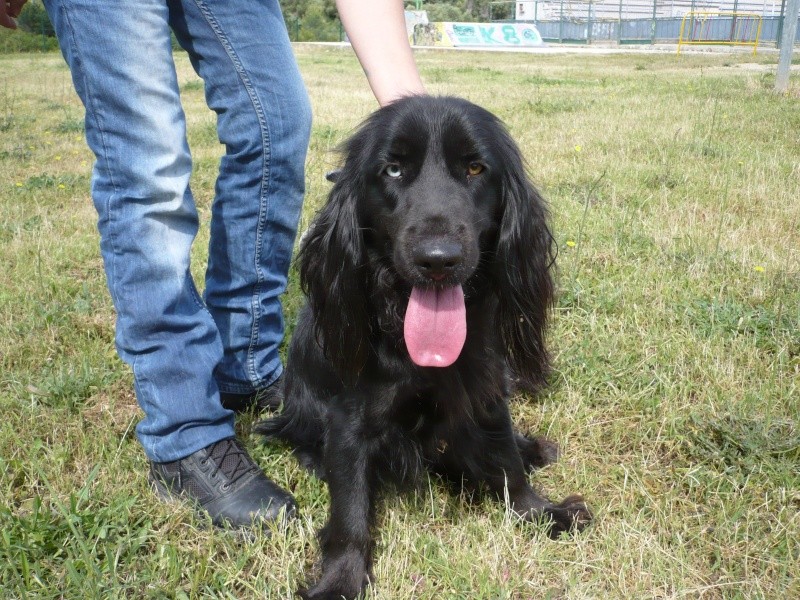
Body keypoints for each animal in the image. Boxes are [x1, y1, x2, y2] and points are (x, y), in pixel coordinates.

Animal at [260, 96, 592, 596]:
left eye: (475, 168)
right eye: (393, 170)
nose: (438, 260)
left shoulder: (484, 385)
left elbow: (506, 459)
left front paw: (541, 511)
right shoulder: (349, 419)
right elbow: (350, 510)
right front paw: (340, 580)